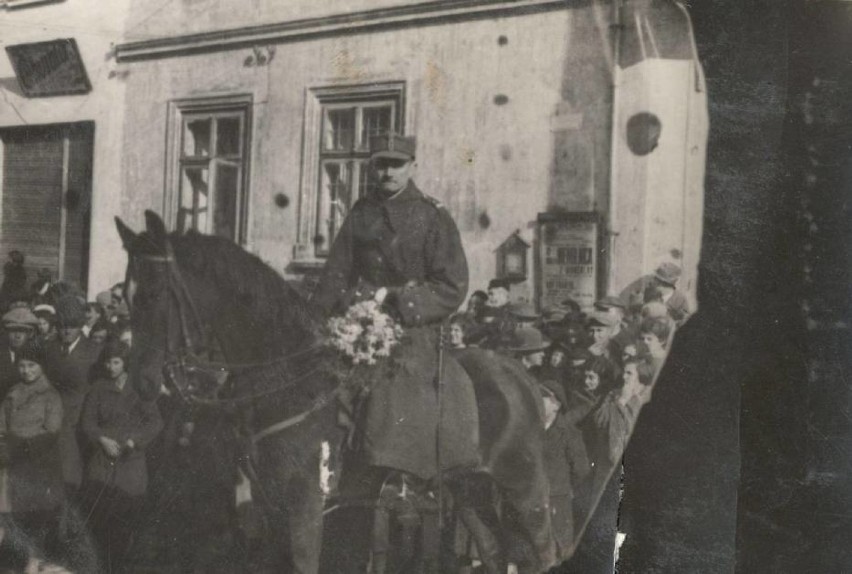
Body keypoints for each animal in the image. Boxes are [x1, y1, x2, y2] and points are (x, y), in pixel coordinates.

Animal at [113, 213, 552, 574]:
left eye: (152, 295)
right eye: (128, 299)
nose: (142, 384)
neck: (290, 377)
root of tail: (522, 376)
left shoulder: (306, 506)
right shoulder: (272, 505)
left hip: (524, 489)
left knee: (541, 553)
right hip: (468, 489)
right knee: (494, 552)